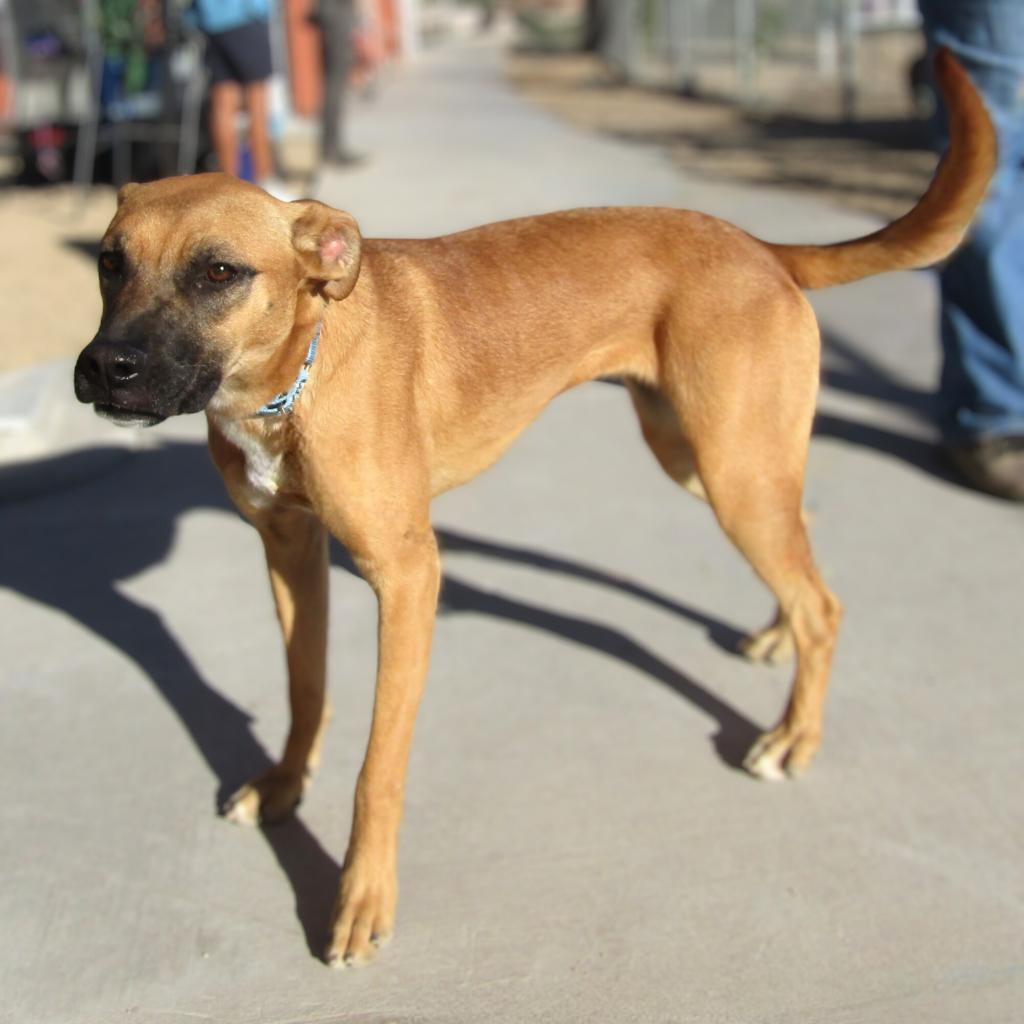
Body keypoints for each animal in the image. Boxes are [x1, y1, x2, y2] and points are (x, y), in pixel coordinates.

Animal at [75, 54, 995, 966]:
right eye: (110, 262)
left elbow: (380, 768)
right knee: (805, 562)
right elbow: (307, 688)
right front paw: (282, 786)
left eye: (219, 272)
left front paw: (361, 898)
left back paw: (794, 737)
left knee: (824, 603)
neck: (293, 377)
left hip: (732, 469)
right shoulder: (289, 548)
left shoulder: (408, 579)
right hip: (713, 462)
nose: (105, 369)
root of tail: (761, 248)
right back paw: (777, 638)